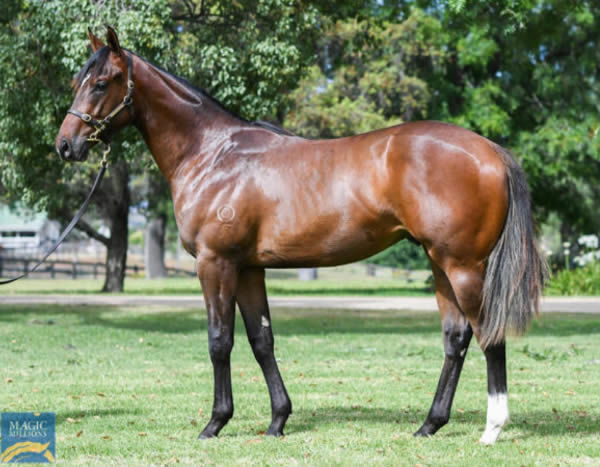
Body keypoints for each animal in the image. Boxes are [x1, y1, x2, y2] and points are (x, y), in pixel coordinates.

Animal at [57, 26, 548, 446]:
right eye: (77, 81)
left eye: (101, 83)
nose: (66, 145)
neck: (213, 154)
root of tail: (490, 150)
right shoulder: (249, 268)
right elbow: (261, 341)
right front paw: (277, 421)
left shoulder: (215, 263)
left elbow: (219, 341)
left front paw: (215, 423)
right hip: (439, 263)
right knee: (456, 338)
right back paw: (429, 424)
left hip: (463, 266)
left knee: (488, 335)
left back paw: (492, 428)